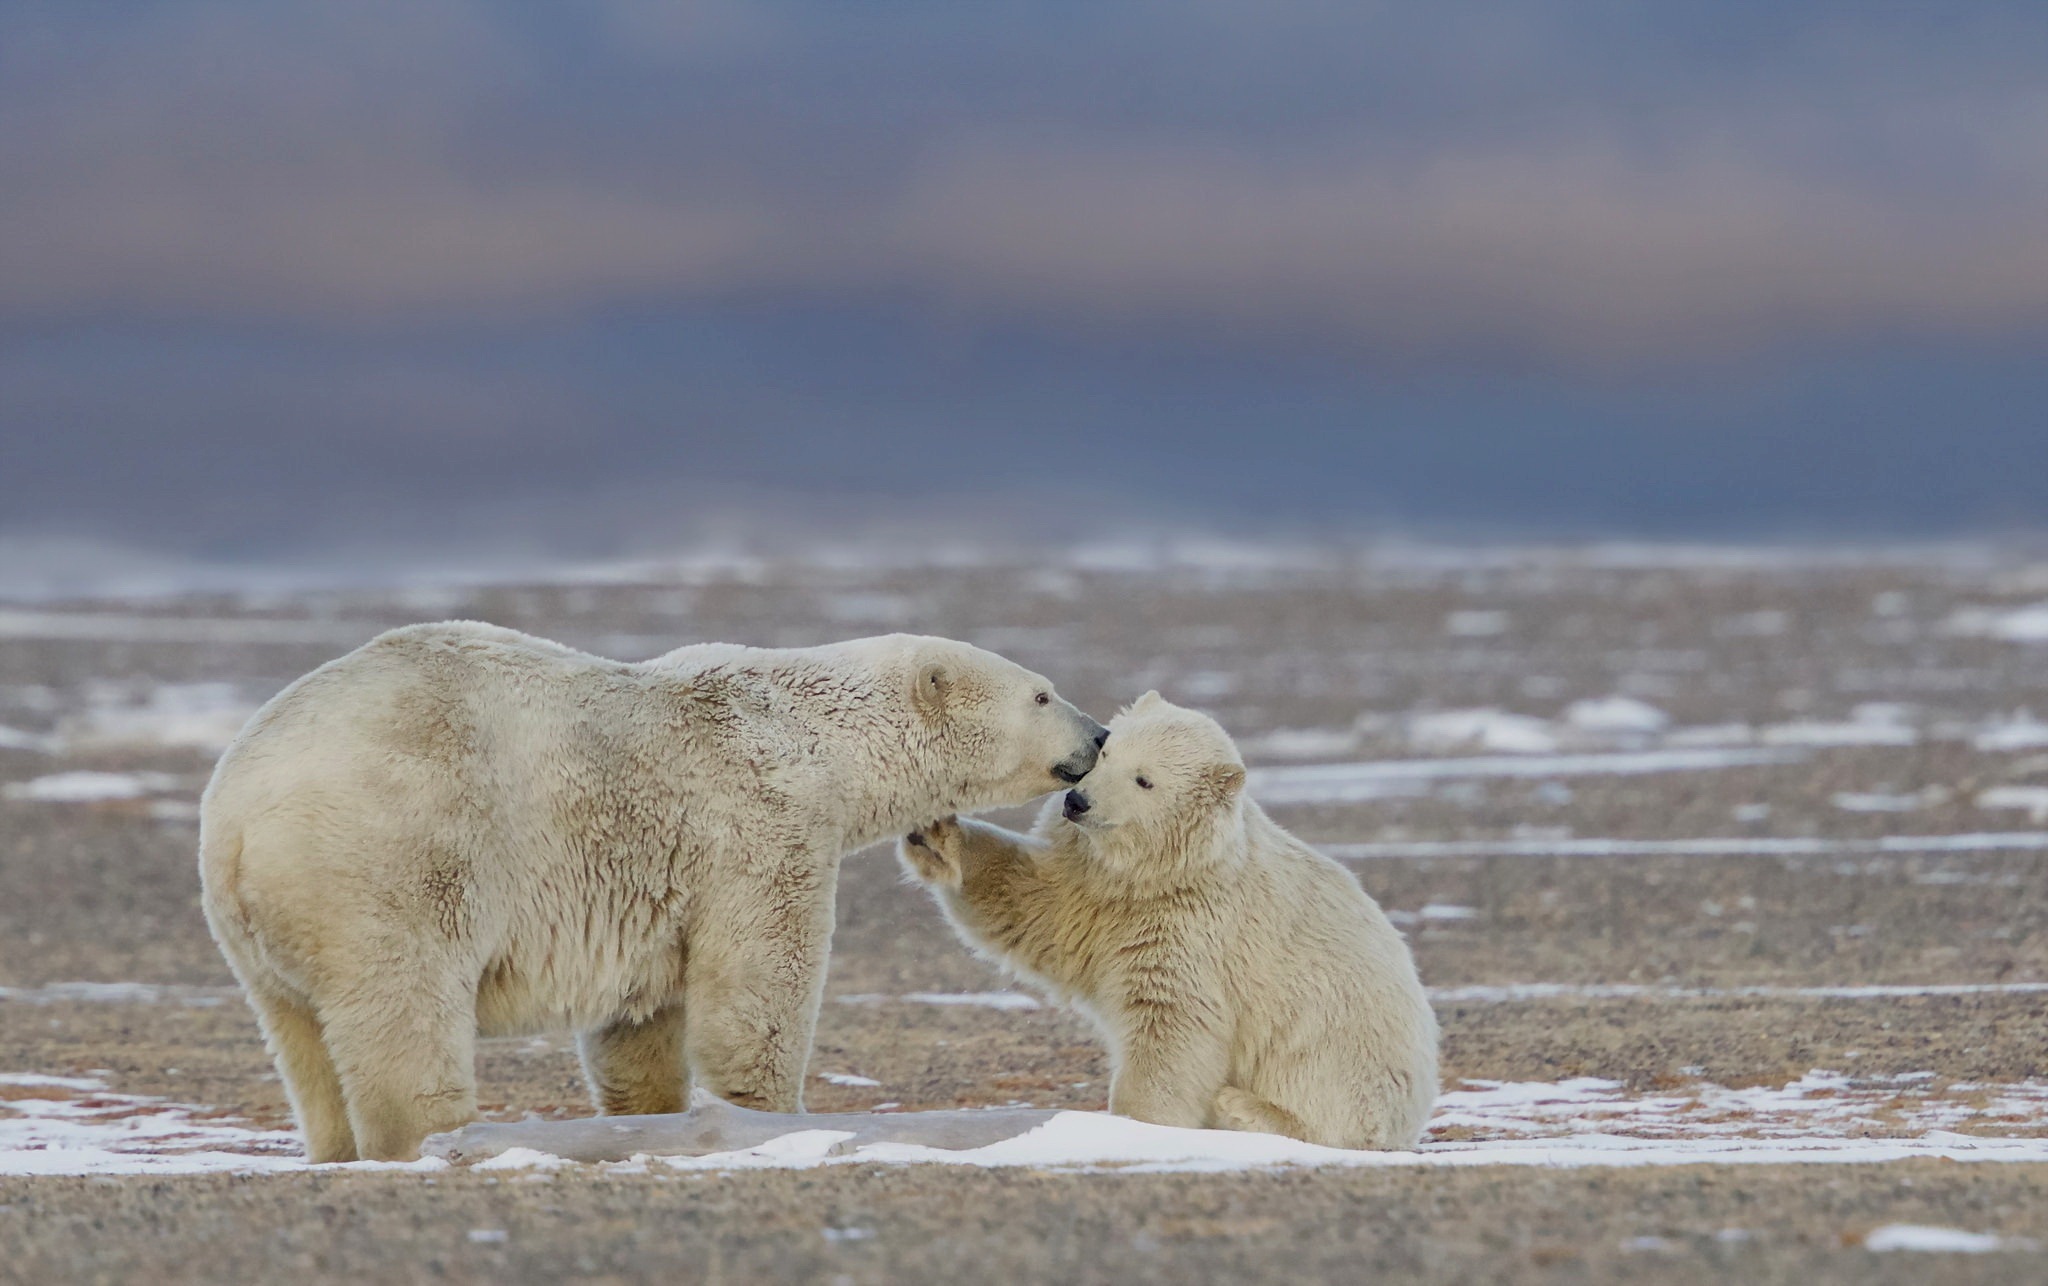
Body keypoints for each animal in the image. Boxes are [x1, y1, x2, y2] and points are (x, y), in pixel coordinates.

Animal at [199, 626, 1114, 1163]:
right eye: (1041, 691)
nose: (1101, 735)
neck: (815, 733)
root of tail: (239, 813)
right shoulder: (759, 816)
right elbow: (758, 985)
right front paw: (771, 1117)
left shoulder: (649, 881)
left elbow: (639, 1020)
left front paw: (655, 1116)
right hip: (391, 859)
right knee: (405, 1008)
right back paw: (438, 1137)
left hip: (259, 928)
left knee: (301, 1036)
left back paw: (336, 1148)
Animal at [897, 688, 1441, 1146]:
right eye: (1107, 751)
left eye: (1145, 780)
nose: (1077, 801)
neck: (1160, 875)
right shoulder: (1092, 886)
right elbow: (1035, 908)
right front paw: (936, 836)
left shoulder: (1195, 926)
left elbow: (1171, 1023)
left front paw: (1135, 1124)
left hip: (1341, 1045)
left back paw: (1241, 1110)